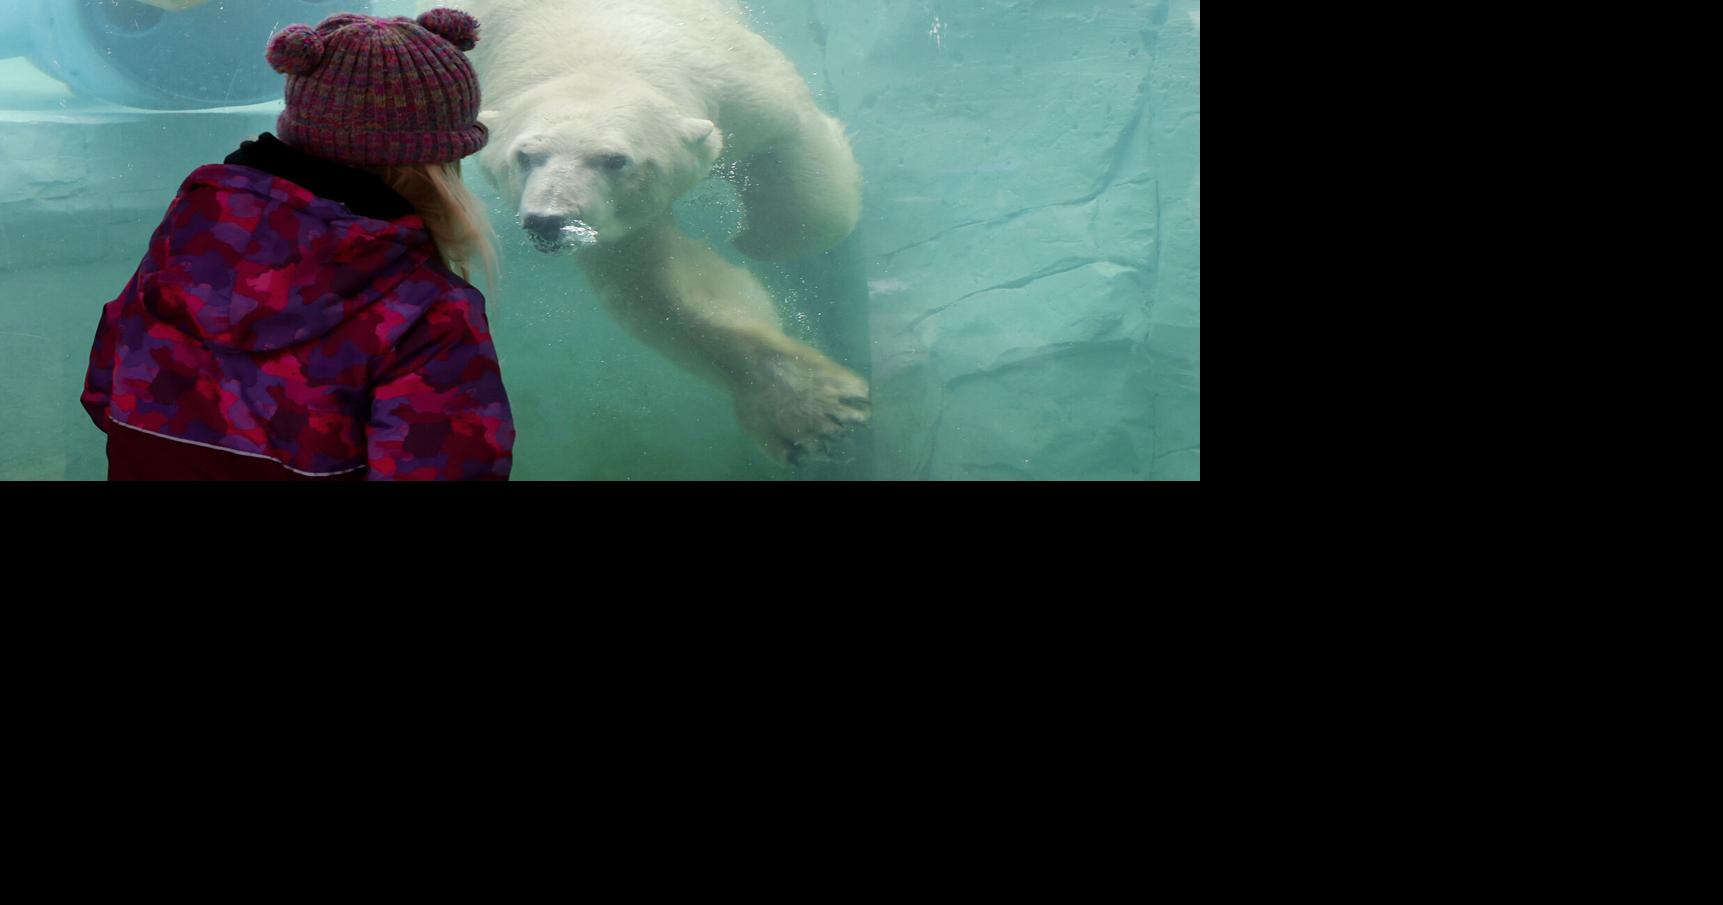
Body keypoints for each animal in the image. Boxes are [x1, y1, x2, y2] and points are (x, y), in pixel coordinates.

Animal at [437, 0, 869, 466]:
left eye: (614, 159)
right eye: (525, 155)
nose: (548, 220)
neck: (590, 39)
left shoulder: (732, 76)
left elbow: (795, 141)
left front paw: (757, 239)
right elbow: (655, 286)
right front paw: (815, 410)